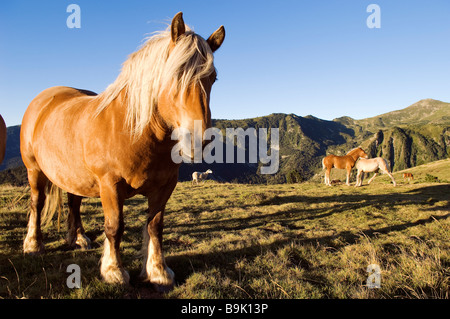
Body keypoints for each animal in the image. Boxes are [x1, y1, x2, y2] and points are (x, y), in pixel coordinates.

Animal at [21, 11, 225, 290]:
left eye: (212, 78)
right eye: (175, 74)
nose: (197, 139)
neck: (135, 133)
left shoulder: (165, 186)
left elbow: (155, 227)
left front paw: (158, 272)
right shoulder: (110, 185)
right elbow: (114, 227)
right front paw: (114, 271)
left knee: (74, 201)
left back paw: (78, 238)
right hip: (34, 170)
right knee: (37, 202)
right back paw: (33, 244)